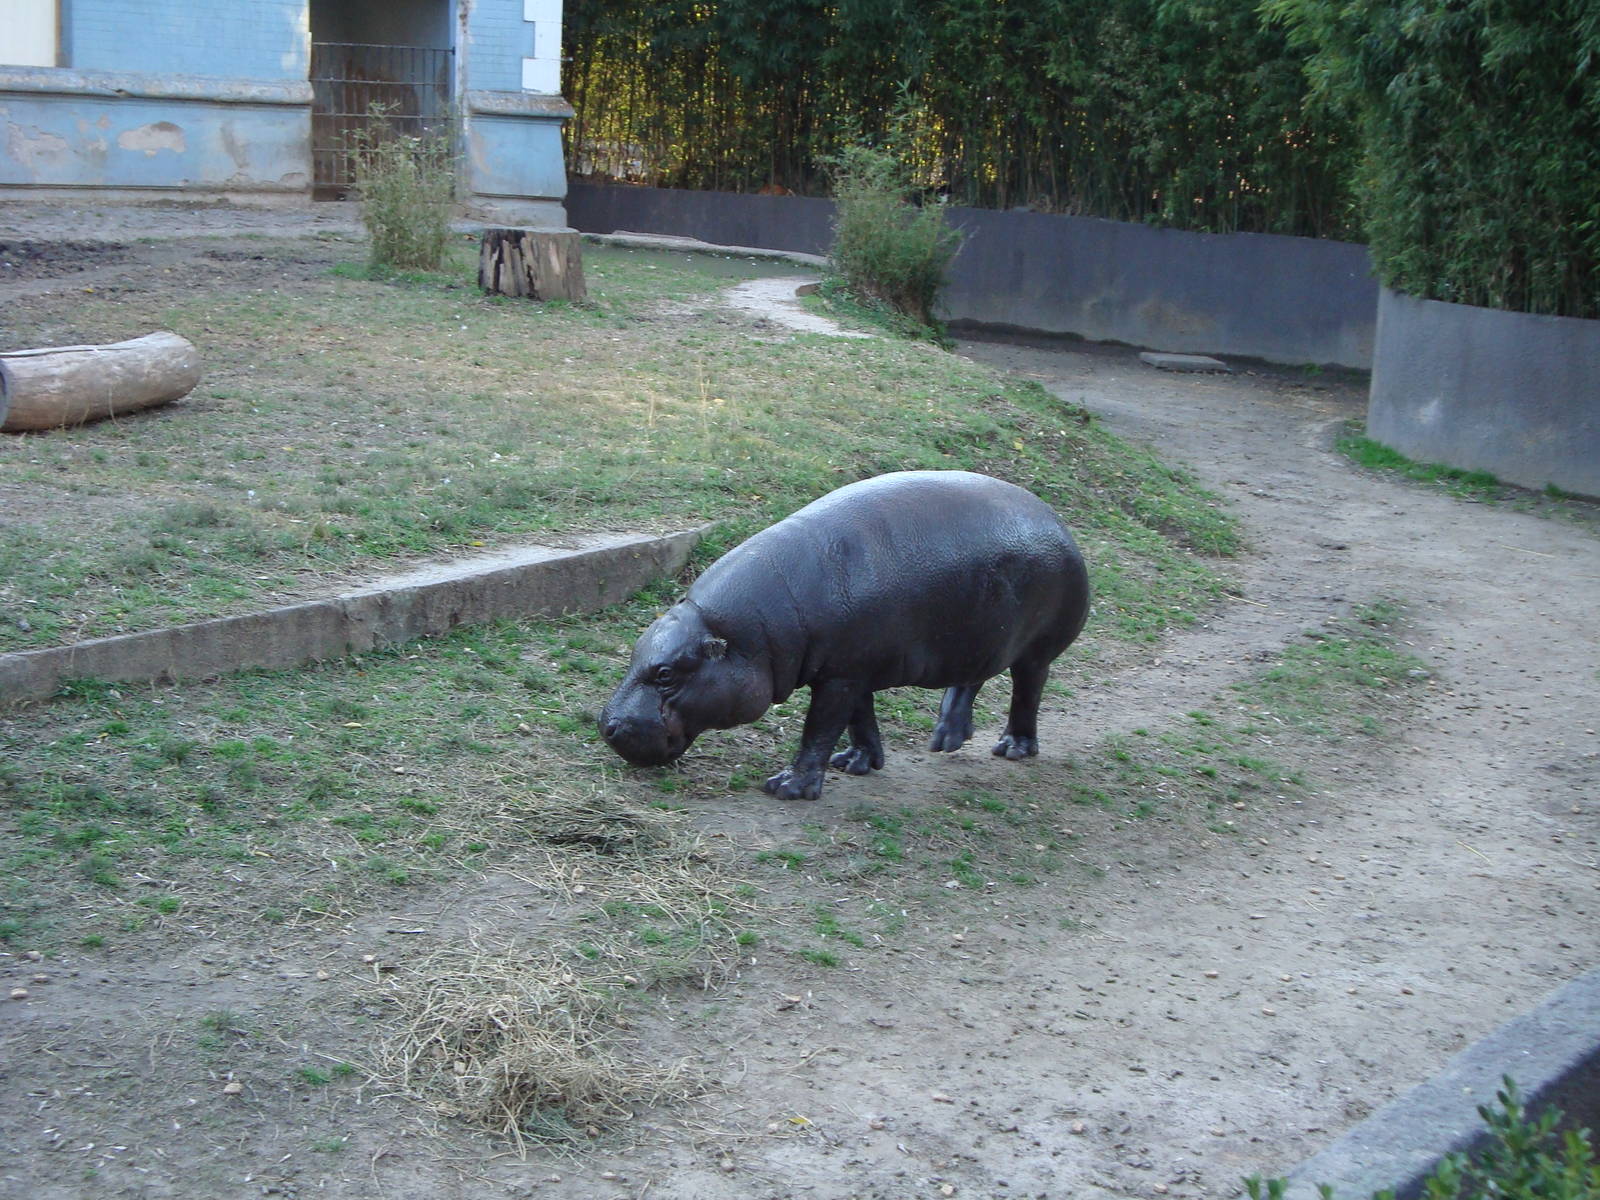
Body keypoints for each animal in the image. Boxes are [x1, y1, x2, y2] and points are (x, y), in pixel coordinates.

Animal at [599, 470, 1090, 800]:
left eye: (665, 674)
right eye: (636, 650)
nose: (607, 724)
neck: (744, 635)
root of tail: (1056, 520)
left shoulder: (840, 676)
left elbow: (820, 728)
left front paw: (787, 787)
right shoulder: (851, 670)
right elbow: (859, 719)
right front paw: (856, 764)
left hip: (1036, 650)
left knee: (1027, 691)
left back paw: (1013, 749)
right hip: (979, 635)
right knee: (970, 678)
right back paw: (946, 737)